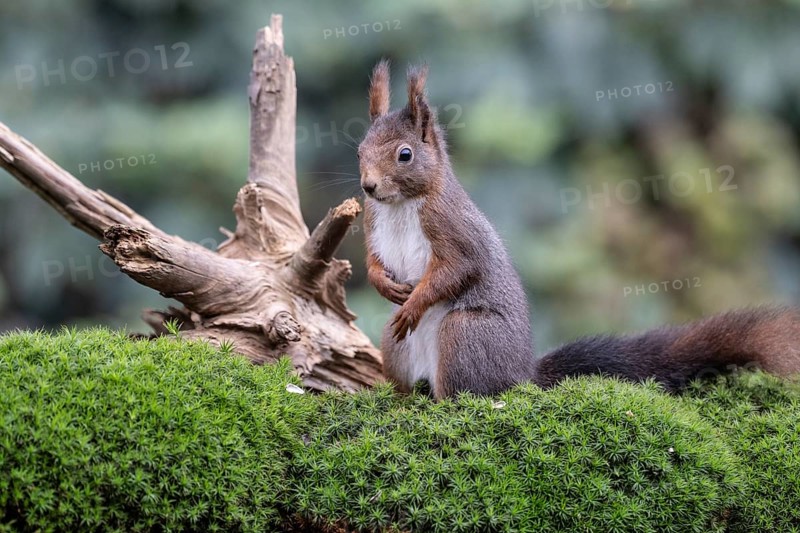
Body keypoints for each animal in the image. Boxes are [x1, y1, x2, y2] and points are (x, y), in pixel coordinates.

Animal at [358, 59, 800, 399]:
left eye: (405, 155)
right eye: (360, 150)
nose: (368, 186)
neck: (401, 205)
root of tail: (523, 377)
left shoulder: (451, 227)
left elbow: (459, 267)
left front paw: (415, 302)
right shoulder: (371, 221)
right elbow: (372, 258)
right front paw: (380, 281)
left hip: (465, 334)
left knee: (467, 395)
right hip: (393, 344)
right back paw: (401, 400)